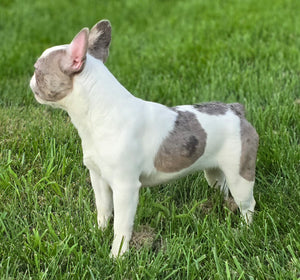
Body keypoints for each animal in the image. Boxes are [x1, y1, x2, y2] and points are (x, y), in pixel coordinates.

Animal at [31, 19, 260, 256]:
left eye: (37, 70)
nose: (31, 80)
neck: (99, 113)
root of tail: (236, 110)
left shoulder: (125, 187)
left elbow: (121, 225)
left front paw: (117, 255)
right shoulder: (98, 178)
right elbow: (103, 209)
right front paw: (98, 232)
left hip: (240, 172)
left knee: (248, 204)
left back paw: (244, 231)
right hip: (215, 170)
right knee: (221, 186)